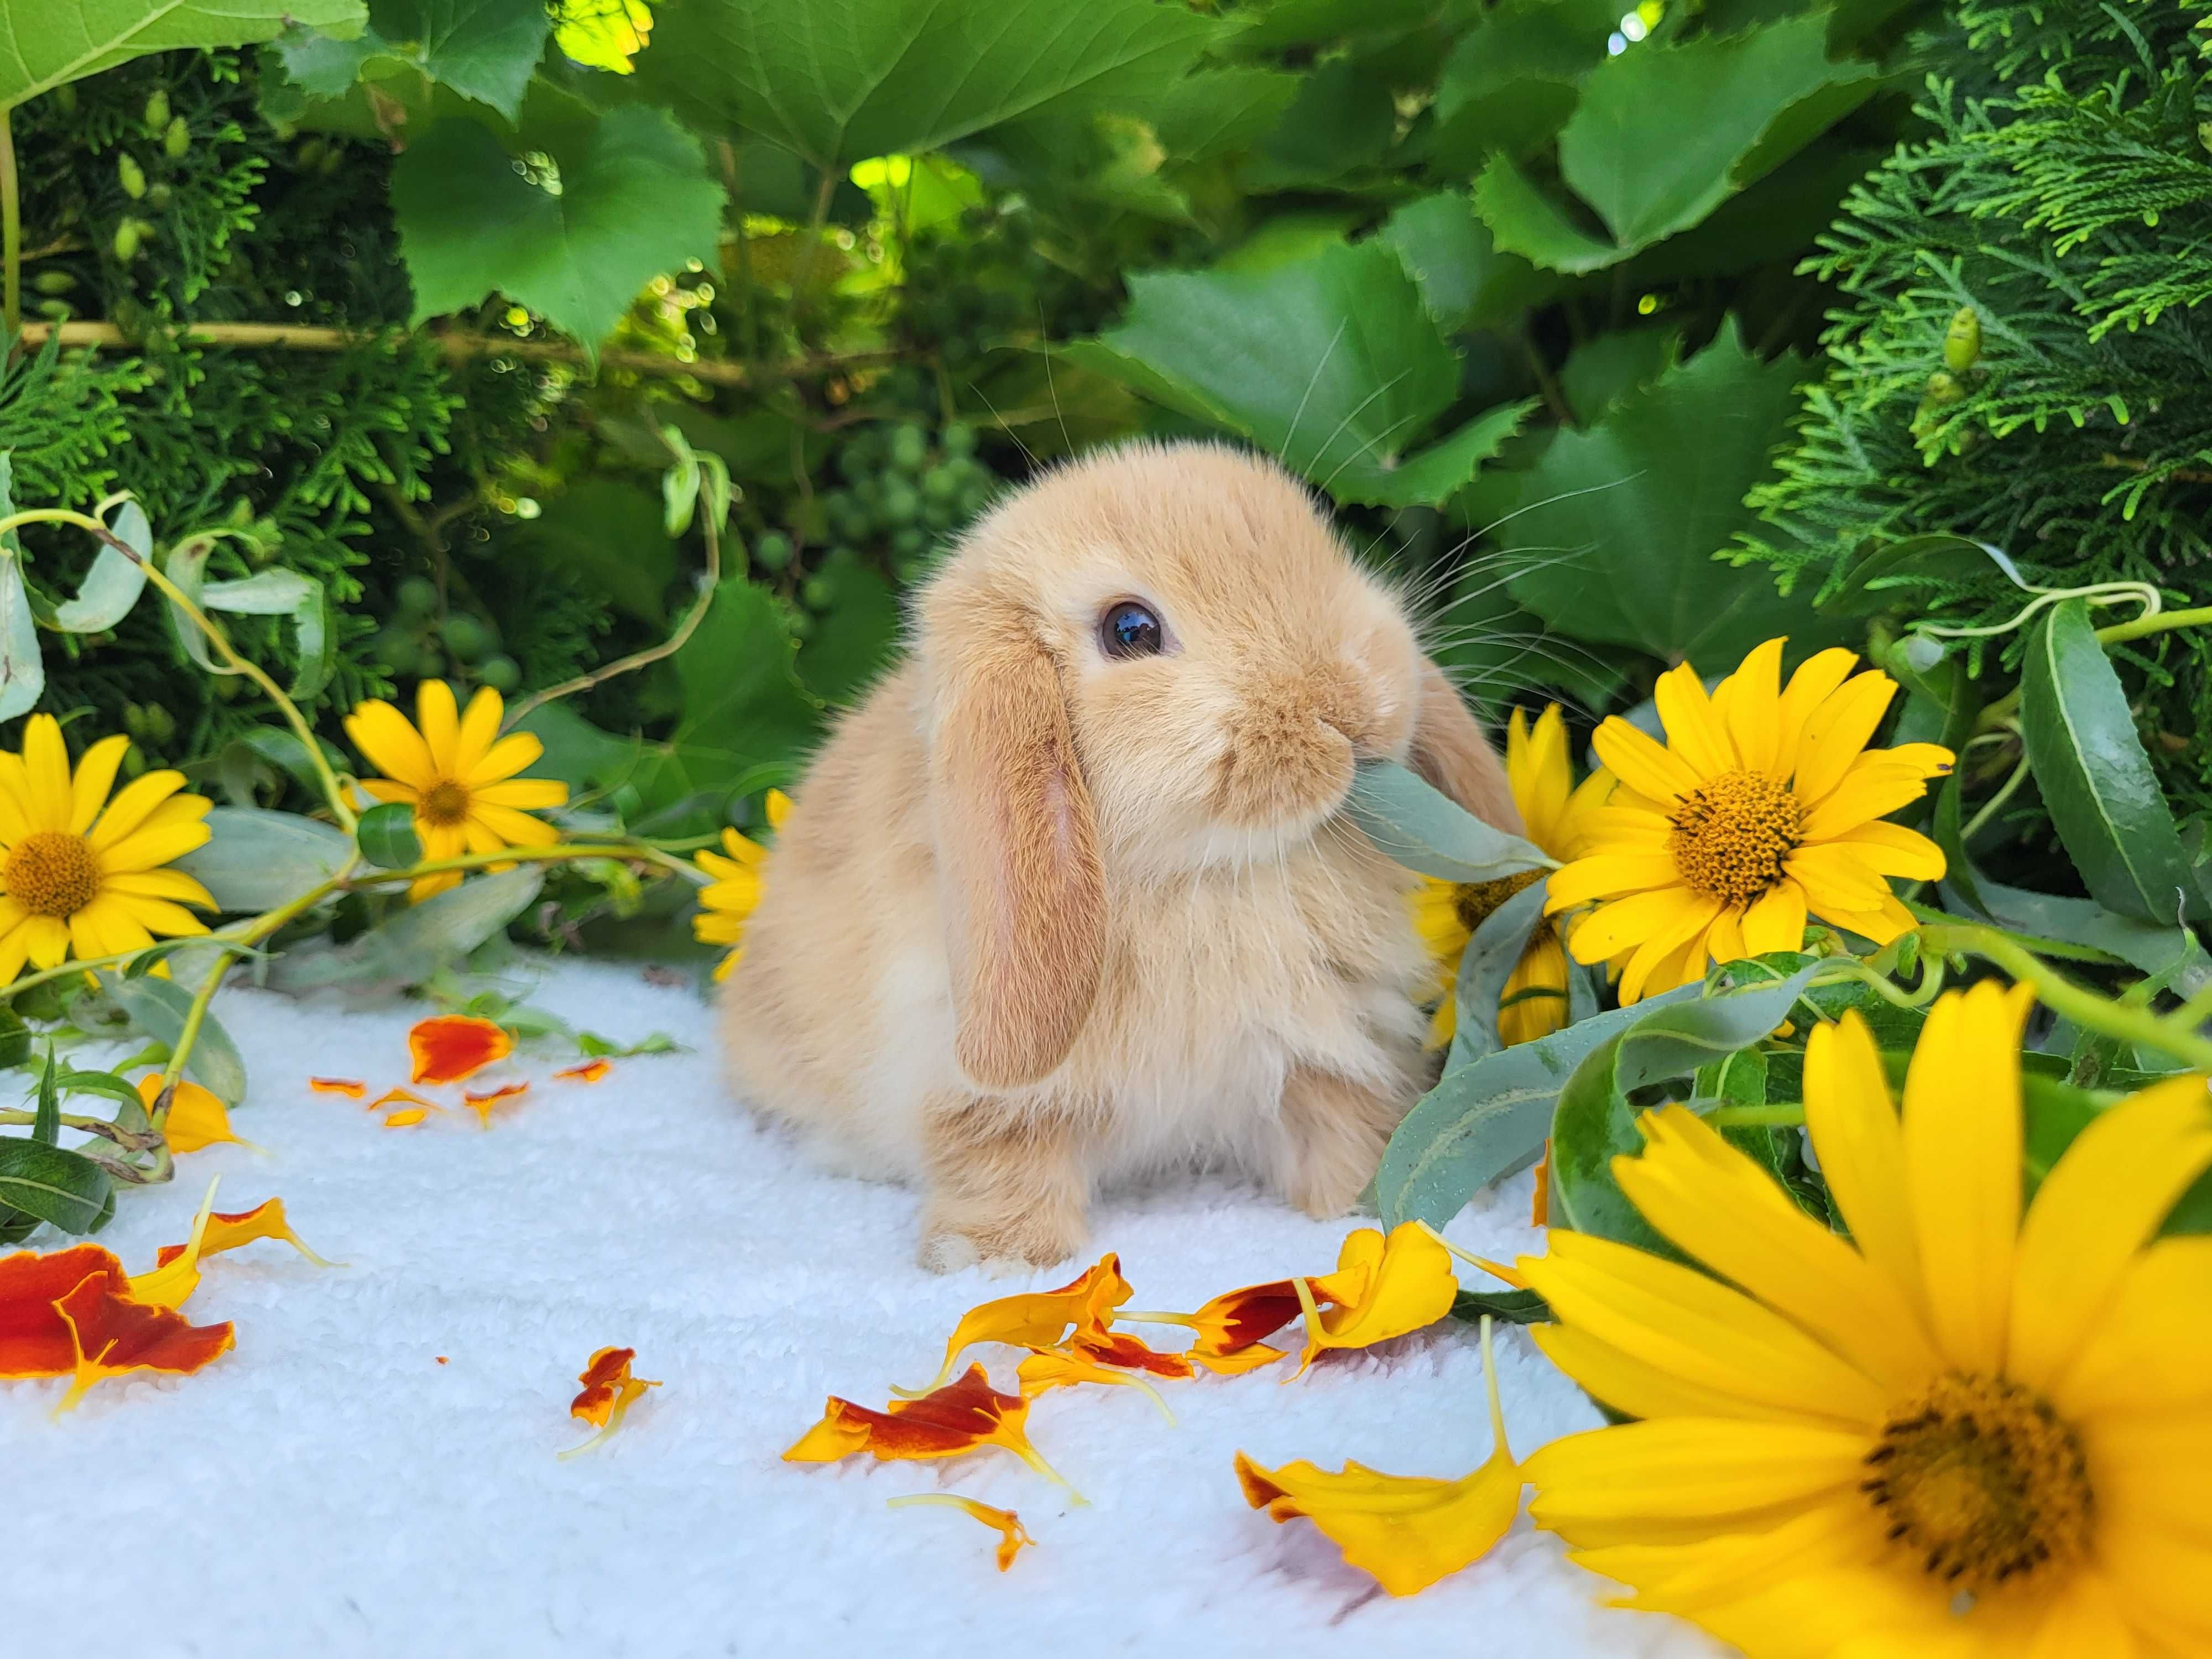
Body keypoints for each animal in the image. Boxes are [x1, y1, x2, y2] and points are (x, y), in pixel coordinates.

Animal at [721, 442, 1522, 1274]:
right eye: (1131, 631)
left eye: (1324, 550)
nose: (1347, 703)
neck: (1205, 878)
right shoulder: (975, 1082)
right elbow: (997, 1157)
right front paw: (993, 1259)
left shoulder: (1325, 1050)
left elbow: (1341, 1126)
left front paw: (1368, 1210)